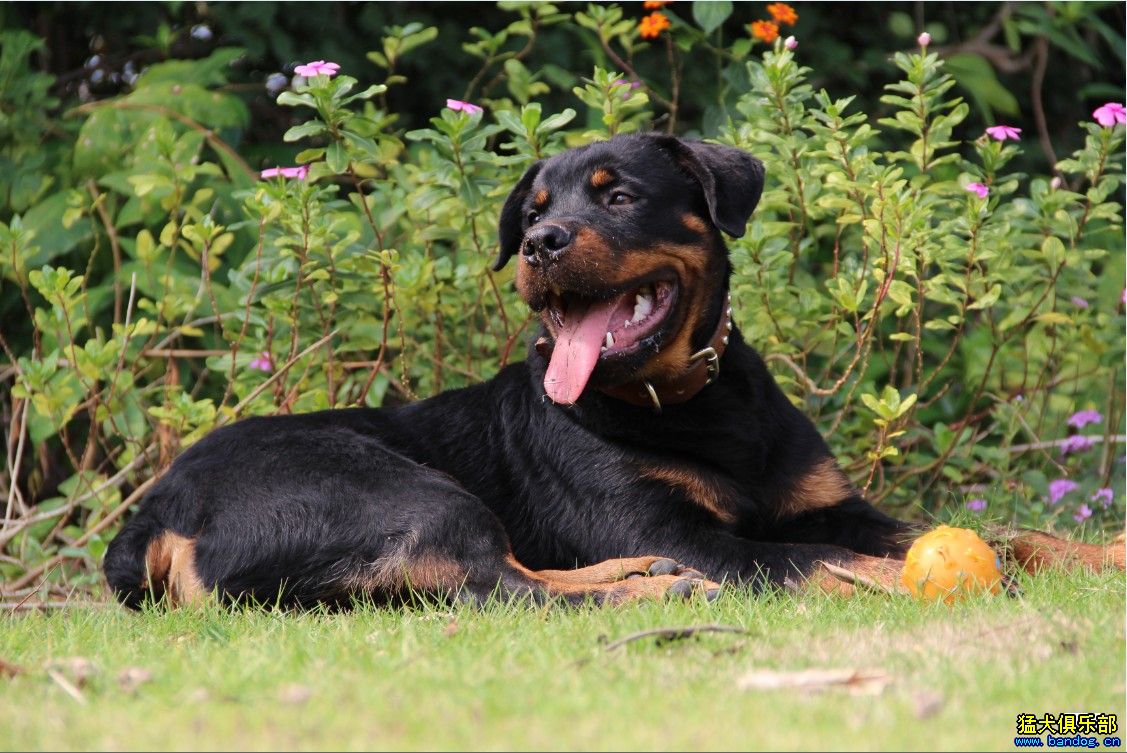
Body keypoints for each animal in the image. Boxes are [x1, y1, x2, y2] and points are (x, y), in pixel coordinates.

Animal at [103, 132, 1117, 608]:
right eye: (532, 211)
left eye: (618, 196)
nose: (540, 243)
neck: (689, 402)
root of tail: (151, 513)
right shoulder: (683, 525)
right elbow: (803, 557)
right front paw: (888, 576)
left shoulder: (830, 500)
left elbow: (1002, 530)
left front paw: (1098, 553)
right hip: (390, 488)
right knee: (496, 588)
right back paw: (655, 586)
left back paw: (638, 578)